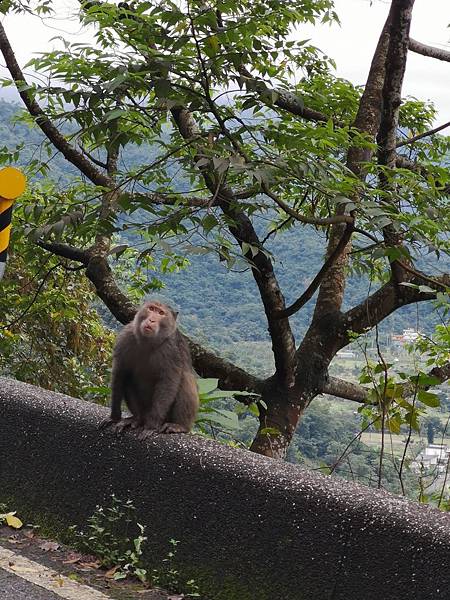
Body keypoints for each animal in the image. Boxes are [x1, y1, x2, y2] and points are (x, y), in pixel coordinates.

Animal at [104, 300, 200, 436]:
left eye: (161, 313)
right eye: (151, 309)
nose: (152, 320)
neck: (148, 342)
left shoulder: (170, 349)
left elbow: (168, 381)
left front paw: (151, 426)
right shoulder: (125, 336)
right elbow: (120, 373)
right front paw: (114, 417)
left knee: (185, 379)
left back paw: (179, 425)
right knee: (128, 378)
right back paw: (137, 419)